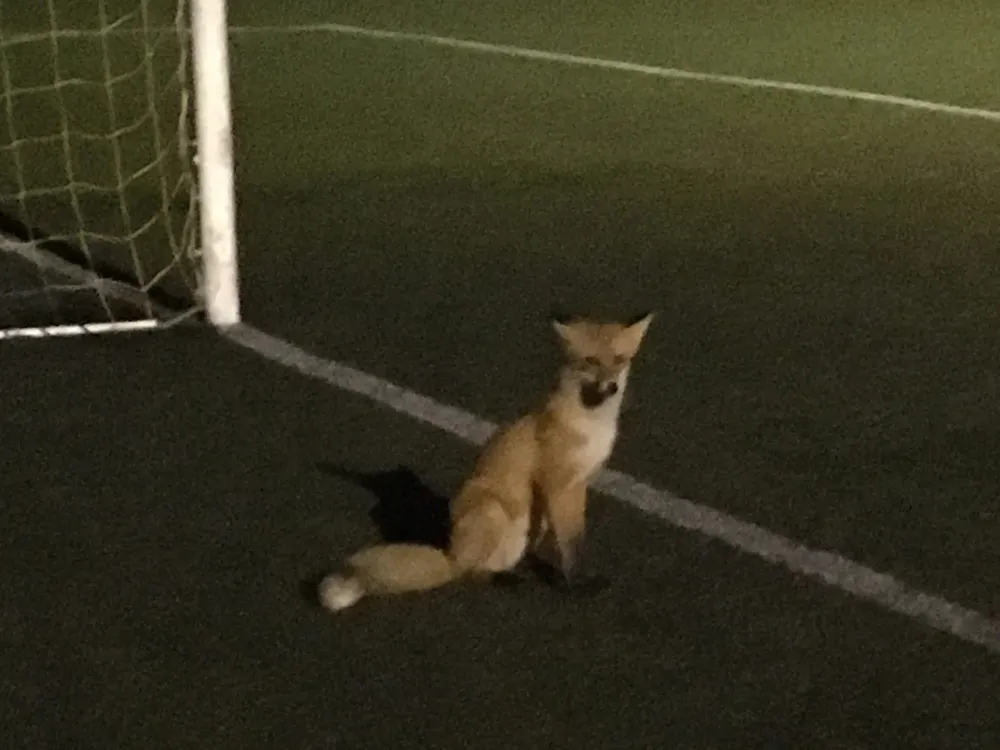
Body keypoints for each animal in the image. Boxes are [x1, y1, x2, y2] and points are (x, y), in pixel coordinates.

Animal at [317, 311, 654, 612]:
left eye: (619, 360)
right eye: (591, 361)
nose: (612, 387)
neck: (590, 426)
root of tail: (450, 553)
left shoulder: (580, 484)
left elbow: (576, 538)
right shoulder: (558, 484)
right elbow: (571, 547)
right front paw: (576, 586)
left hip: (531, 523)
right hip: (491, 508)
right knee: (468, 573)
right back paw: (499, 578)